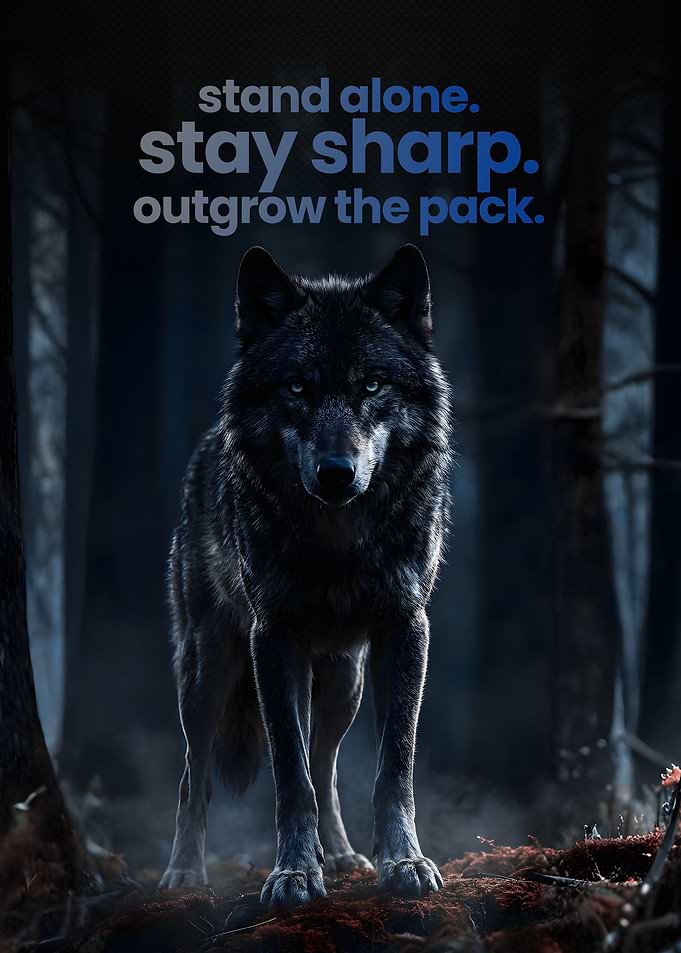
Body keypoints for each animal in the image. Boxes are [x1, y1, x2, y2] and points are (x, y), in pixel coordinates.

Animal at [159, 244, 452, 909]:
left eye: (371, 385)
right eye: (297, 386)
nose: (337, 472)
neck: (338, 542)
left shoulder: (407, 629)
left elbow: (392, 767)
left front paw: (403, 862)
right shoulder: (273, 639)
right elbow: (289, 775)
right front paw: (292, 874)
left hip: (345, 680)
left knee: (327, 767)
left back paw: (340, 856)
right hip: (208, 671)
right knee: (195, 775)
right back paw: (184, 872)